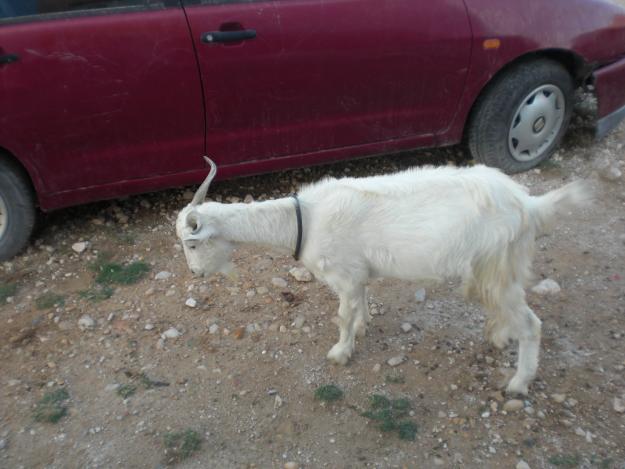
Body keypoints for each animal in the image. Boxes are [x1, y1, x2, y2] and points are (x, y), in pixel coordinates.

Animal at [177, 158, 588, 394]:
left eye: (192, 243)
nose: (195, 273)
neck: (305, 219)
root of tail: (528, 204)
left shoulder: (343, 274)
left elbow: (343, 315)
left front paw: (340, 353)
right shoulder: (358, 274)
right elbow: (360, 303)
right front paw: (361, 329)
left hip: (496, 265)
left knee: (532, 324)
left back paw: (518, 385)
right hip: (499, 268)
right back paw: (499, 336)